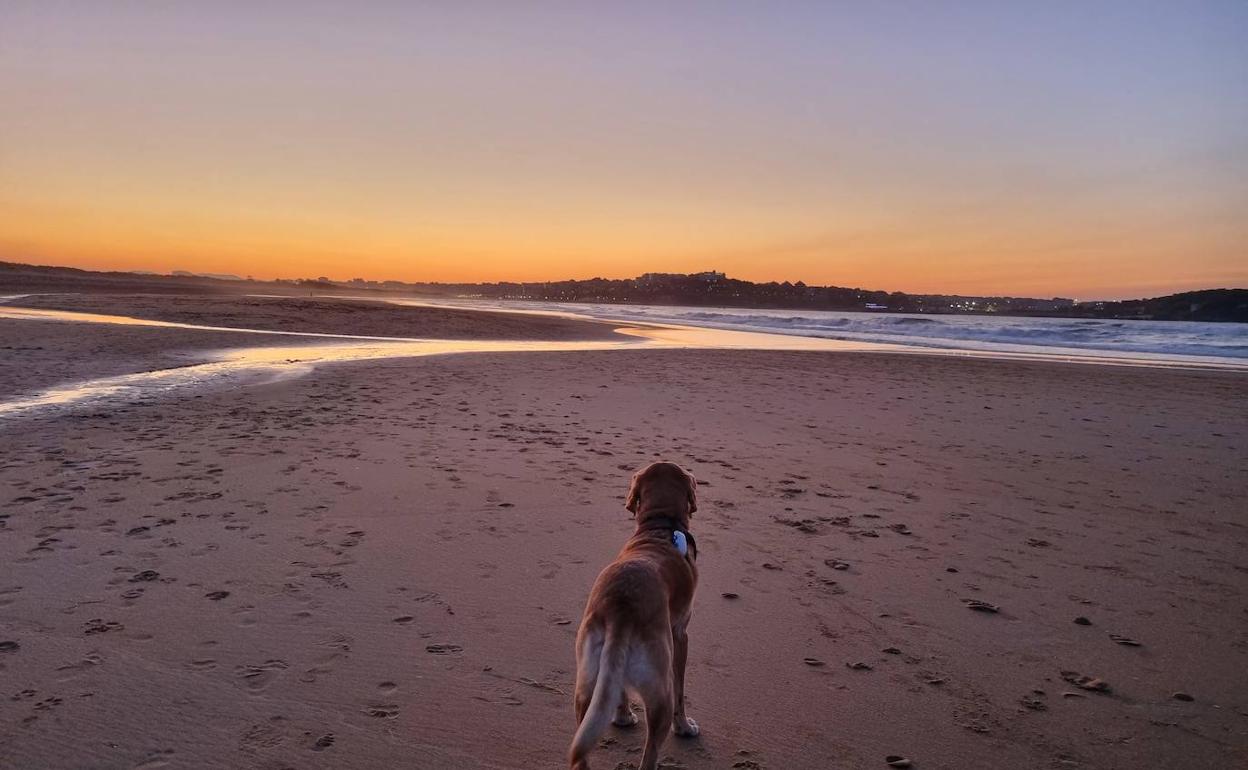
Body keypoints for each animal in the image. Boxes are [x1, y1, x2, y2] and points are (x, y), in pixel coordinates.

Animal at [569, 461, 698, 768]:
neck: (659, 527)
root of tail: (621, 609)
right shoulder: (681, 635)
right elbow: (681, 690)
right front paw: (685, 727)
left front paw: (623, 717)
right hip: (660, 686)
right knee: (651, 751)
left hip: (586, 682)